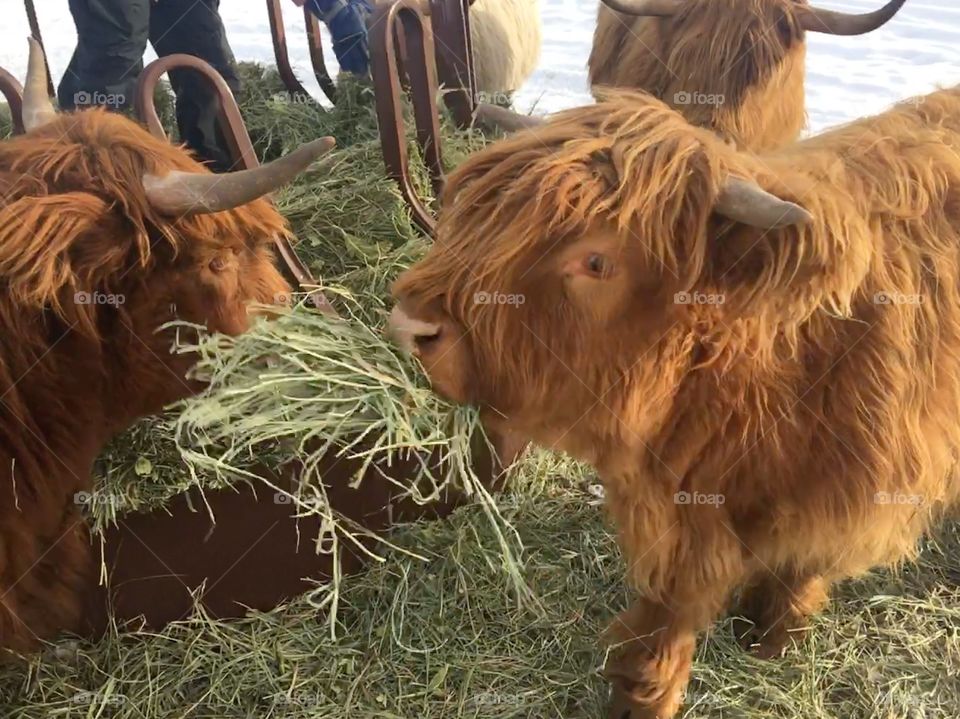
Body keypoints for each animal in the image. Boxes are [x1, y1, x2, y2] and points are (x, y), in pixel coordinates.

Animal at [388, 85, 960, 718]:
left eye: (596, 261)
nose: (410, 326)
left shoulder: (850, 495)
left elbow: (803, 564)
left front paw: (773, 636)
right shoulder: (679, 506)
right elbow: (674, 602)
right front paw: (642, 685)